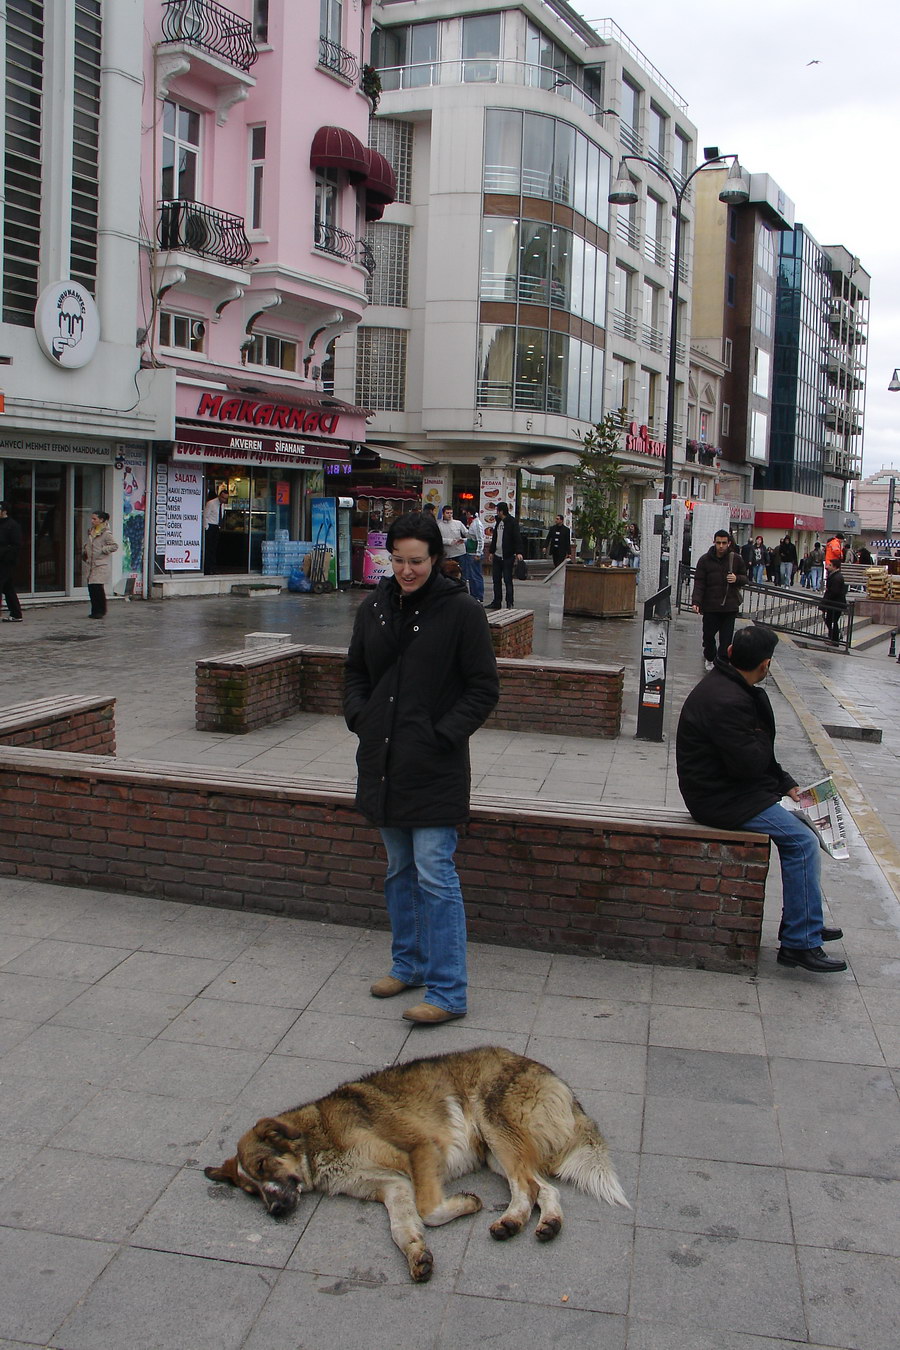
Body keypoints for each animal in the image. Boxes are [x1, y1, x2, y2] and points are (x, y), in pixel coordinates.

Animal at [206, 1042, 626, 1285]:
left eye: (263, 1167)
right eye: (251, 1191)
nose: (275, 1210)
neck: (318, 1137)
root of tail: (554, 1078)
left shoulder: (420, 1150)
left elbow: (428, 1209)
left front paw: (465, 1204)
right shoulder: (392, 1186)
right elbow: (402, 1228)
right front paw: (416, 1255)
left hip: (495, 1130)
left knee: (526, 1187)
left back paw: (511, 1220)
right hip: (497, 1154)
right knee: (544, 1188)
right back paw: (544, 1223)